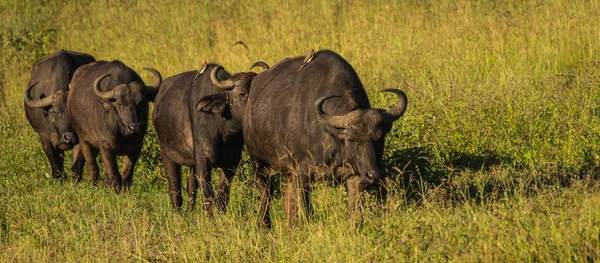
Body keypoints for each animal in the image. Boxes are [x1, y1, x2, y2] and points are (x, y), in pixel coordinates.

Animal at [67, 60, 162, 194]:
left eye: (141, 102)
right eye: (120, 104)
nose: (134, 128)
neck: (122, 133)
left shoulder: (137, 145)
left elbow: (127, 171)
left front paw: (125, 189)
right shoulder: (105, 145)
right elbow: (113, 171)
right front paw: (115, 189)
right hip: (84, 140)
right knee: (92, 164)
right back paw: (95, 183)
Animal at [152, 63, 262, 214]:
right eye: (242, 93)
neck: (222, 128)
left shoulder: (231, 163)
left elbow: (222, 196)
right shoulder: (203, 159)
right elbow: (208, 195)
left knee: (191, 186)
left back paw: (190, 212)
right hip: (167, 154)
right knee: (175, 188)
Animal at [244, 50, 408, 228]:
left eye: (379, 138)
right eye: (352, 139)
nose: (373, 175)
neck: (331, 135)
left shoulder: (355, 173)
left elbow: (354, 208)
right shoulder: (303, 171)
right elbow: (306, 207)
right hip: (258, 162)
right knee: (266, 193)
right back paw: (264, 224)